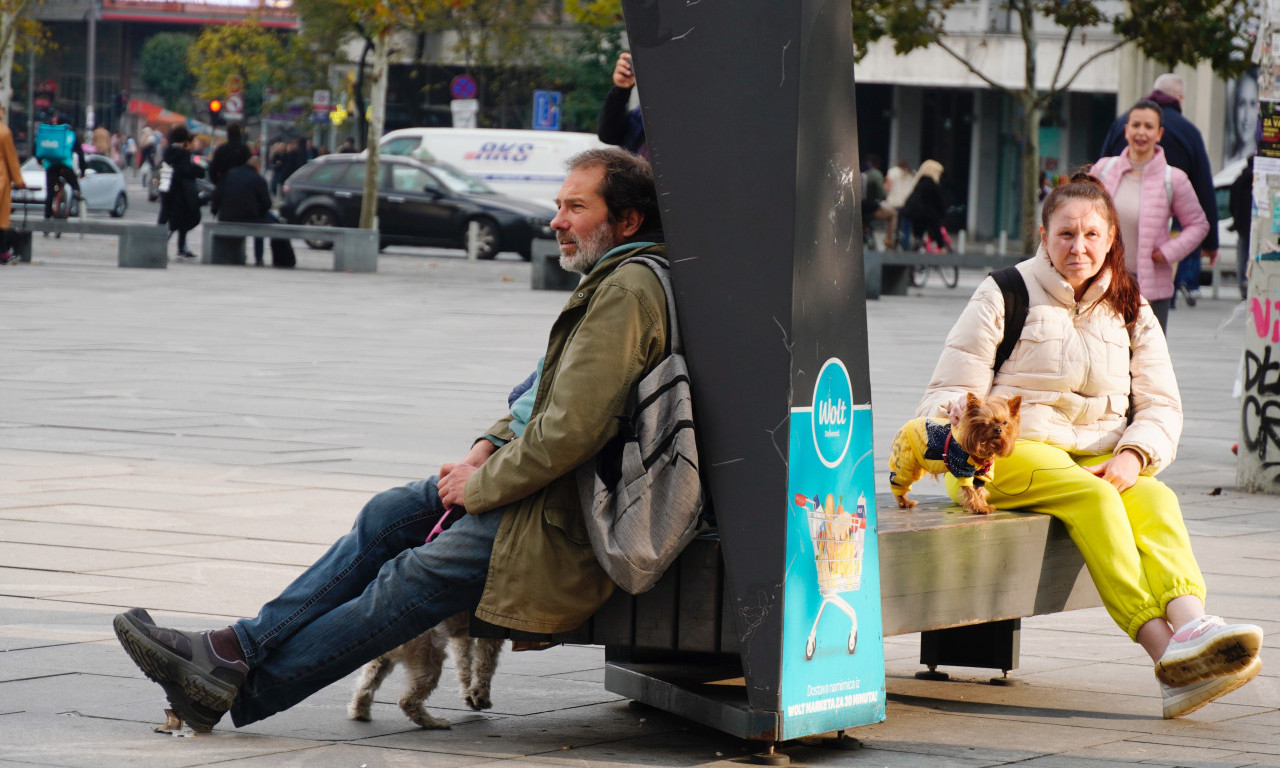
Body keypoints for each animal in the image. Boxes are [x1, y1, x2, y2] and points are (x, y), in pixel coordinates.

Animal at [353, 609, 506, 727]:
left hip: (381, 659)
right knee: (407, 701)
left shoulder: (463, 634)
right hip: (429, 659)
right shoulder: (489, 630)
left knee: (364, 688)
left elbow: (464, 663)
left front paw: (470, 694)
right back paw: (434, 723)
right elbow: (485, 662)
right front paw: (480, 695)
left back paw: (360, 713)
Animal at [890, 394, 1018, 512]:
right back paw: (905, 502)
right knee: (899, 481)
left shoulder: (983, 473)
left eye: (1005, 423)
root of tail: (903, 428)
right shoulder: (963, 469)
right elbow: (970, 491)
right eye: (984, 423)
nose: (998, 430)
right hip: (905, 463)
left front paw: (983, 505)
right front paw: (979, 507)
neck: (982, 447)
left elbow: (980, 490)